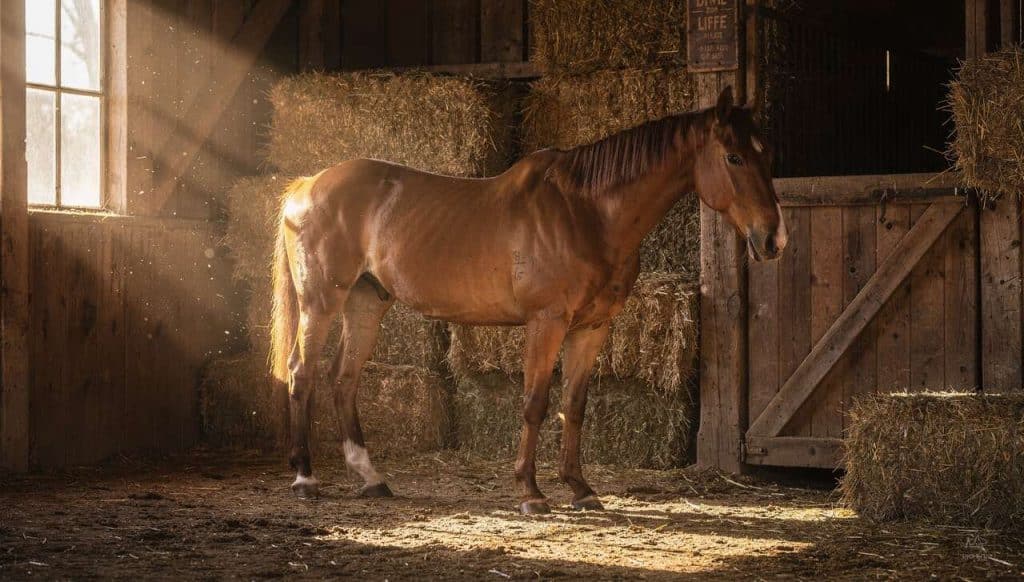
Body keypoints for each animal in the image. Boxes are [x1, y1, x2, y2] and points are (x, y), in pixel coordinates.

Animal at [269, 86, 786, 514]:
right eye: (734, 157)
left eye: (766, 156)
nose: (773, 239)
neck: (584, 212)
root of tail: (306, 186)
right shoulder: (547, 322)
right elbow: (535, 402)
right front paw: (531, 493)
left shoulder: (591, 328)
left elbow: (574, 405)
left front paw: (581, 489)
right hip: (321, 301)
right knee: (302, 372)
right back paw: (305, 479)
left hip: (367, 302)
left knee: (343, 377)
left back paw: (370, 477)